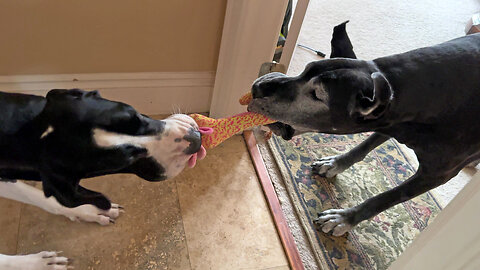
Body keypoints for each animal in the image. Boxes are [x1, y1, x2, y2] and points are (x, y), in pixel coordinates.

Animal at [0, 88, 203, 268]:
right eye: (125, 161)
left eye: (136, 115)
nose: (195, 139)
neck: (24, 135)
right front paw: (36, 263)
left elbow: (43, 197)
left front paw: (89, 211)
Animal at [248, 24, 480, 237]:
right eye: (305, 69)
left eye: (317, 95)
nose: (257, 87)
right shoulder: (387, 121)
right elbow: (364, 145)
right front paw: (335, 163)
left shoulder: (437, 174)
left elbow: (386, 198)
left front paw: (344, 218)